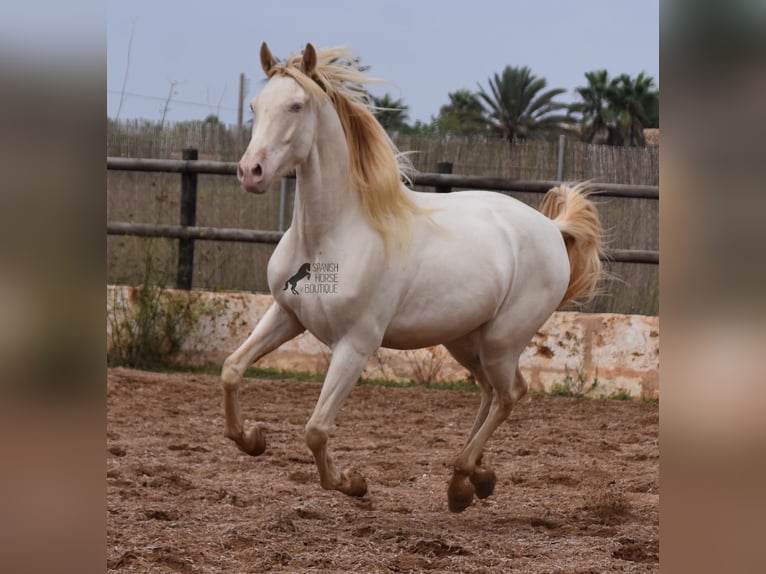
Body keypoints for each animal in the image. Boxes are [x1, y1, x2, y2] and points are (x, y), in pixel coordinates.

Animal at [224, 44, 608, 512]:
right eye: (254, 106)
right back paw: (472, 480)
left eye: (296, 106)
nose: (251, 172)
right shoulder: (286, 314)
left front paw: (353, 482)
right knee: (490, 394)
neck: (333, 235)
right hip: (465, 340)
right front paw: (252, 439)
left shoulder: (355, 345)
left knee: (509, 395)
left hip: (502, 341)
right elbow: (232, 368)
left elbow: (316, 429)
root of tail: (552, 229)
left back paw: (465, 479)